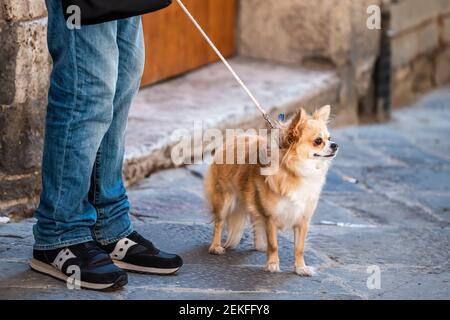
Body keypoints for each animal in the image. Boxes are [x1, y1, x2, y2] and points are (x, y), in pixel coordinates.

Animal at [204, 106, 338, 276]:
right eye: (318, 141)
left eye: (329, 138)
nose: (335, 145)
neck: (296, 171)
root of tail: (234, 139)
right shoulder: (271, 217)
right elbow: (274, 244)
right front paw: (273, 265)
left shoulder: (302, 219)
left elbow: (299, 248)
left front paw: (300, 268)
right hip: (224, 201)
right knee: (219, 222)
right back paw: (215, 247)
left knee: (255, 218)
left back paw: (260, 245)